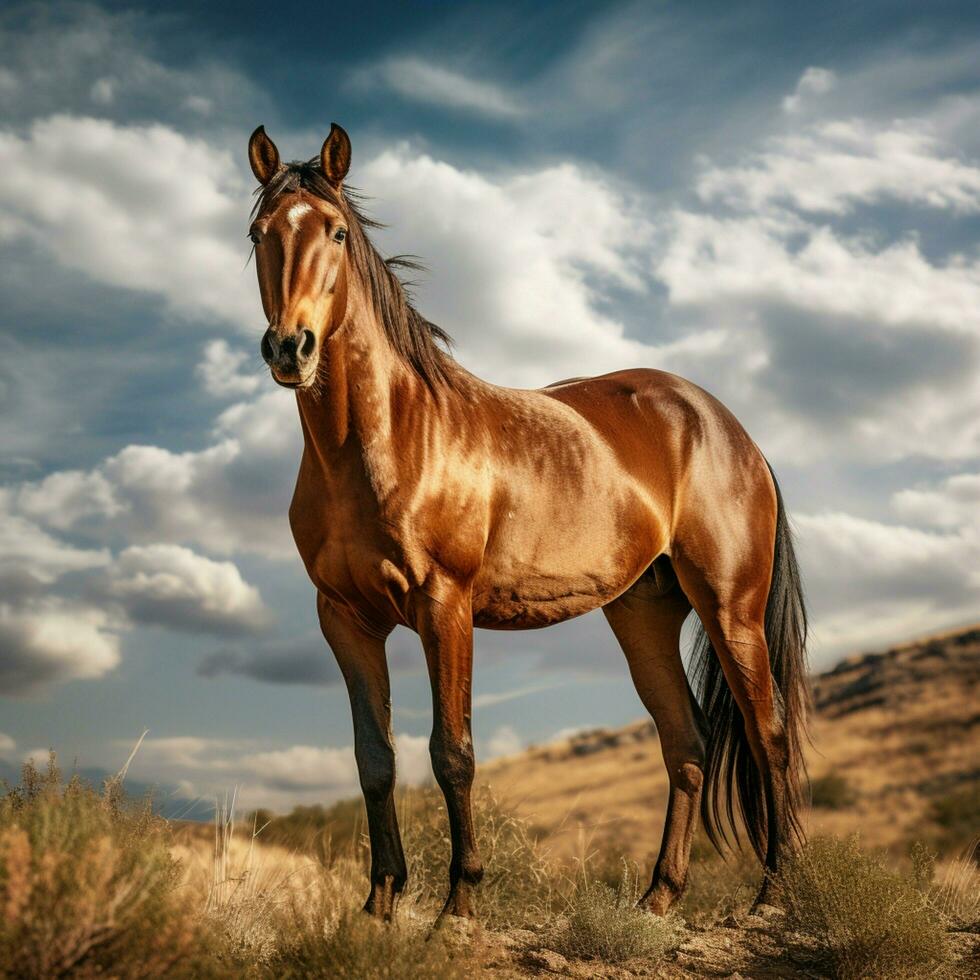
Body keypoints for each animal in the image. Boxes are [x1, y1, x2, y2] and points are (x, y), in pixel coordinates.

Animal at [241, 120, 808, 920]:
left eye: (336, 231)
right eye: (258, 232)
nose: (290, 348)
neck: (384, 440)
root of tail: (726, 426)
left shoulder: (444, 606)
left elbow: (452, 753)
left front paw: (457, 905)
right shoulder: (345, 620)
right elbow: (373, 759)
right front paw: (379, 907)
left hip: (732, 610)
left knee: (769, 736)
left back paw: (773, 896)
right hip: (644, 613)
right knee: (688, 743)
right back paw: (658, 898)